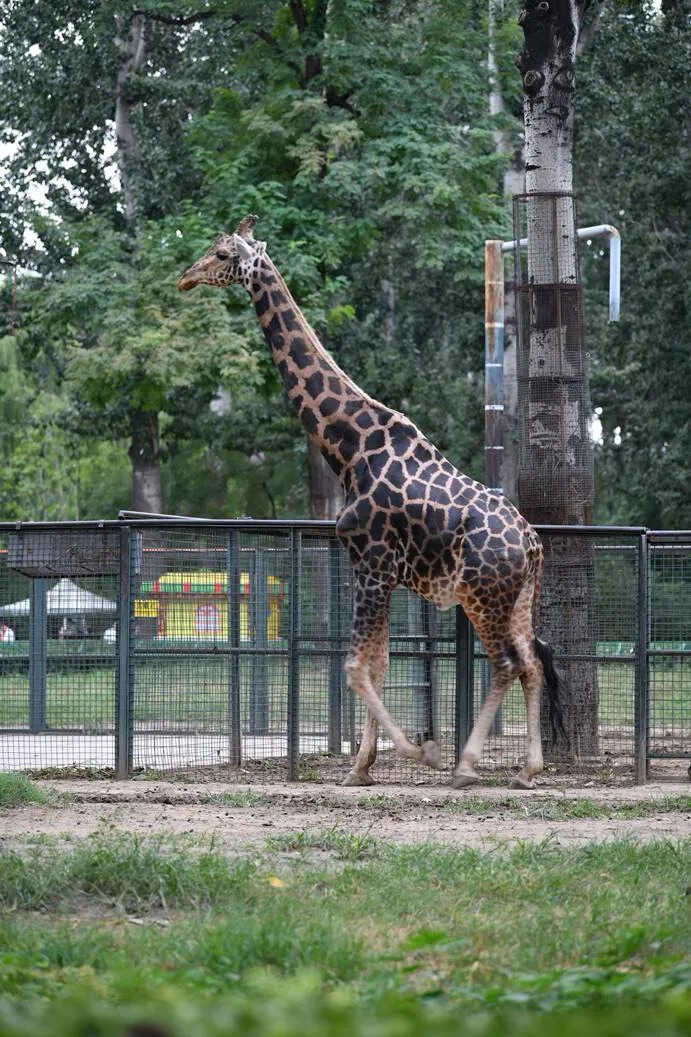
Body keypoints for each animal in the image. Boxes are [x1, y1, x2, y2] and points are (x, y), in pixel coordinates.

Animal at [175, 214, 564, 788]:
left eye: (223, 254)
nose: (185, 277)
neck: (349, 446)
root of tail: (533, 546)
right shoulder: (378, 571)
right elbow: (375, 666)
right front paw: (362, 766)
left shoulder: (373, 564)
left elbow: (355, 667)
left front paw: (418, 753)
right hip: (516, 599)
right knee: (531, 664)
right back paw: (527, 770)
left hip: (481, 595)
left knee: (506, 665)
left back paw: (465, 765)